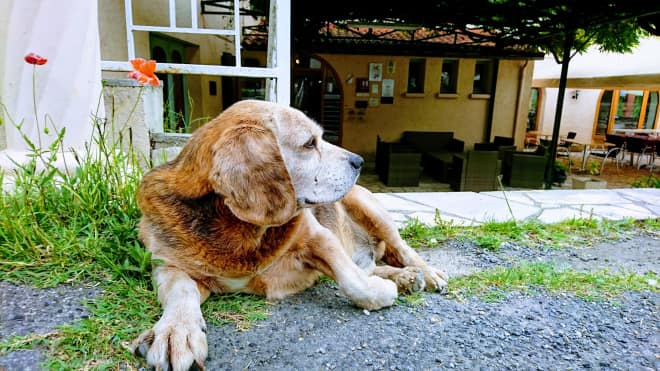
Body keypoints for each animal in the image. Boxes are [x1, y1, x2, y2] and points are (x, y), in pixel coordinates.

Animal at [131, 100, 446, 370]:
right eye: (310, 143)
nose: (359, 161)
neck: (241, 233)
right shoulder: (168, 265)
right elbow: (181, 291)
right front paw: (175, 332)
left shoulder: (319, 238)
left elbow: (354, 282)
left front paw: (380, 292)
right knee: (371, 266)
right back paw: (405, 277)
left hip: (370, 208)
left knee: (402, 250)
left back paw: (426, 274)